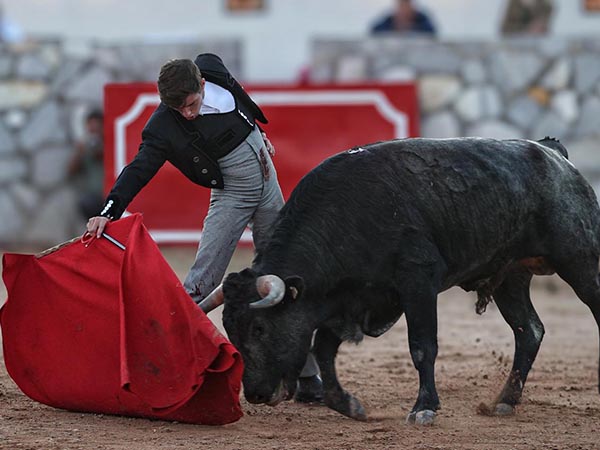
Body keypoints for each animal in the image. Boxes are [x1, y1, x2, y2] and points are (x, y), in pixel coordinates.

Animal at [200, 137, 600, 426]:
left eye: (260, 328)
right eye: (230, 330)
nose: (255, 393)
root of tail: (555, 154)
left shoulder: (418, 282)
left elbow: (422, 346)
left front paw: (425, 408)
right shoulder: (346, 303)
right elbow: (323, 351)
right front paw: (348, 405)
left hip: (581, 260)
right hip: (510, 276)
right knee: (528, 330)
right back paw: (504, 401)